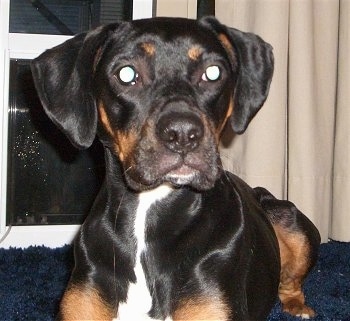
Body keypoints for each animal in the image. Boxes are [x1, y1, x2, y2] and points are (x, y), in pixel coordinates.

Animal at [31, 16, 322, 318]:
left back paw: (297, 306)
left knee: (290, 280)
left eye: (213, 72)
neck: (148, 212)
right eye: (126, 74)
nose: (182, 133)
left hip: (292, 220)